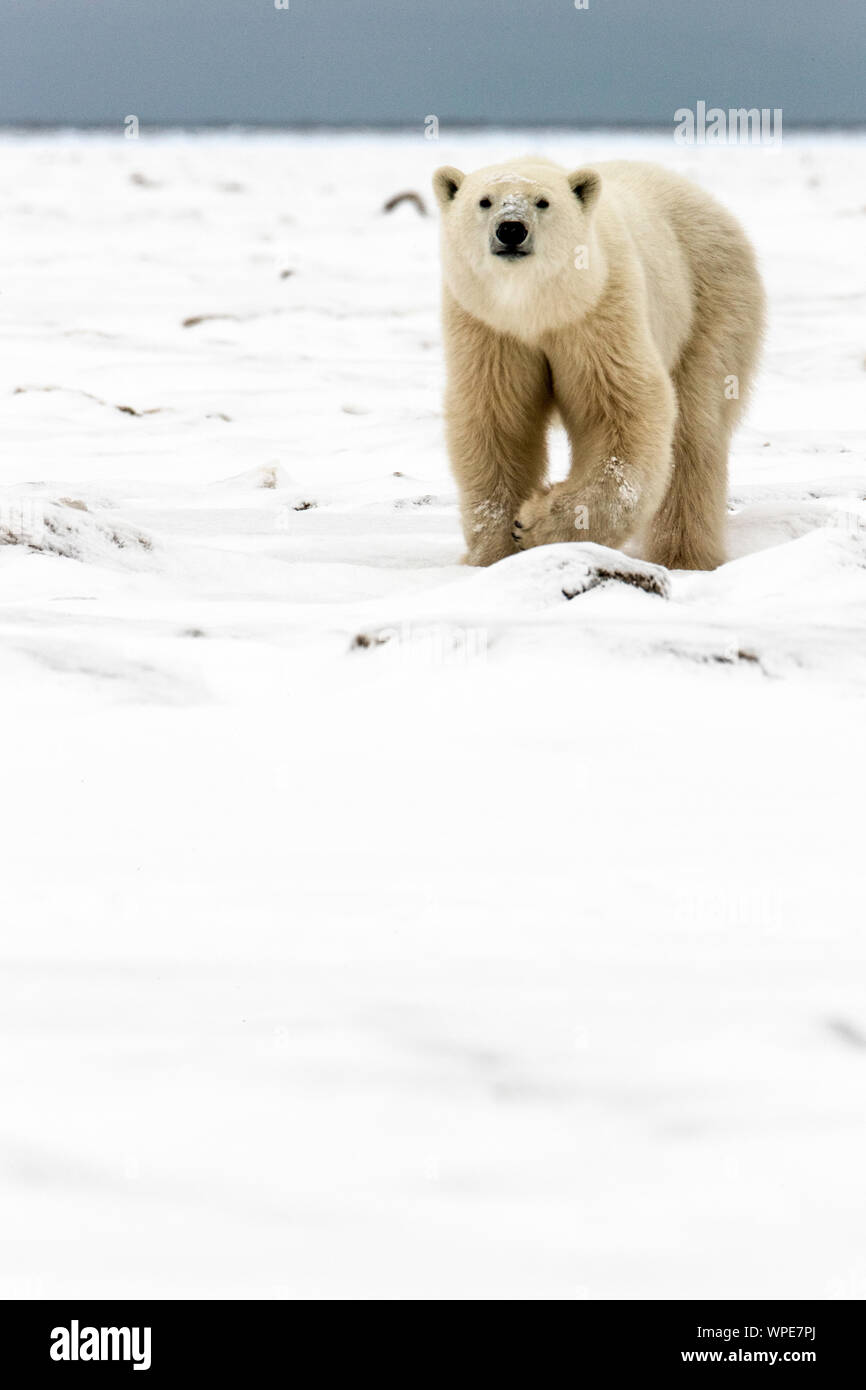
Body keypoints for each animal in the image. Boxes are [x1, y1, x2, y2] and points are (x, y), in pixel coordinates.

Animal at [432, 157, 765, 570]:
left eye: (542, 202)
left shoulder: (599, 310)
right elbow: (496, 421)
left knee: (694, 432)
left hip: (711, 301)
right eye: (485, 200)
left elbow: (619, 413)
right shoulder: (488, 328)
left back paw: (684, 556)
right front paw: (494, 553)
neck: (537, 309)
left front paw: (535, 525)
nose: (511, 229)